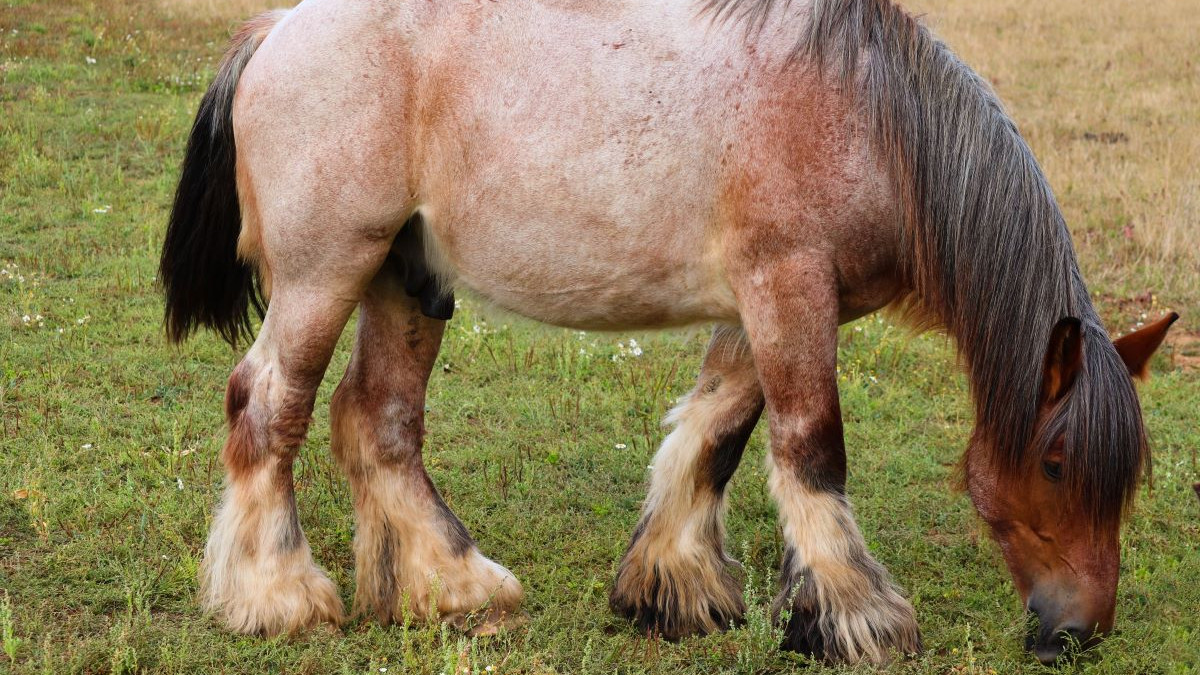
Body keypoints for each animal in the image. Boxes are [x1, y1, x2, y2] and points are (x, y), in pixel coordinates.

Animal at [158, 0, 1178, 665]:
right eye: (1056, 463)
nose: (1078, 631)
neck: (873, 120)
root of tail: (275, 30)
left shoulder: (762, 307)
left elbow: (717, 433)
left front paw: (672, 586)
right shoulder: (787, 290)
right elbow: (811, 449)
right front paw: (859, 618)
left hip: (407, 282)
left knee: (379, 422)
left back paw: (456, 586)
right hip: (325, 275)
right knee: (267, 407)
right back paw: (277, 595)